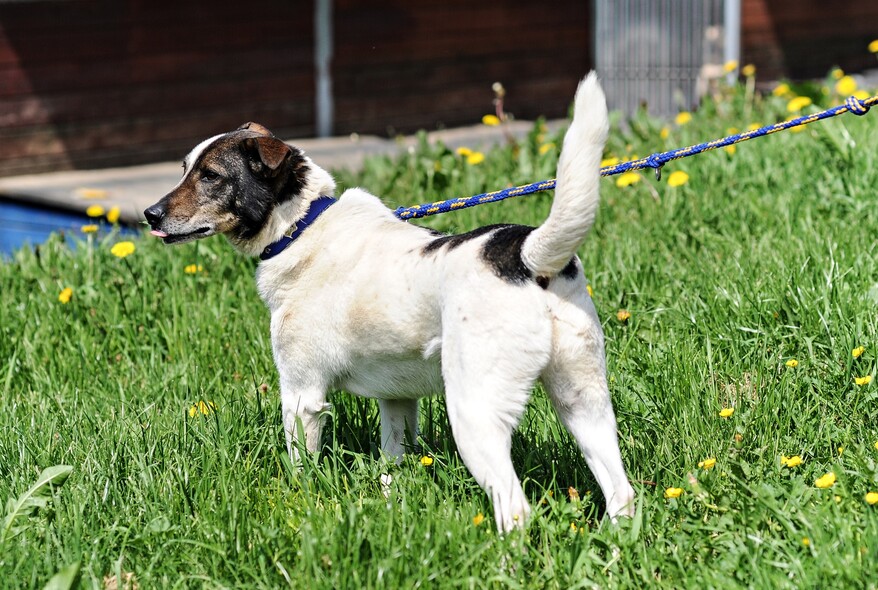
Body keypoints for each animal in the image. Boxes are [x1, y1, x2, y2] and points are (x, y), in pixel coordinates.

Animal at [148, 73, 636, 532]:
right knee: (622, 493)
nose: (151, 215)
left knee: (515, 508)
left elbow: (301, 468)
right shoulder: (397, 400)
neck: (301, 227)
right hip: (584, 404)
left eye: (211, 176)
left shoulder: (302, 394)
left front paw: (299, 504)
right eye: (185, 169)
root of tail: (524, 253)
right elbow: (394, 464)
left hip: (474, 413)